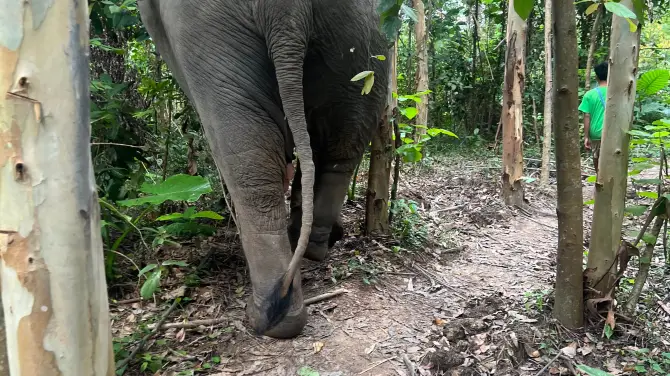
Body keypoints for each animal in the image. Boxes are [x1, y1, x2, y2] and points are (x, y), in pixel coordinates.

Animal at [138, 0, 392, 338]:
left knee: (247, 161)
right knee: (342, 144)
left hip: (207, 25)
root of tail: (286, 12)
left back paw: (269, 316)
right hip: (362, 29)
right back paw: (309, 253)